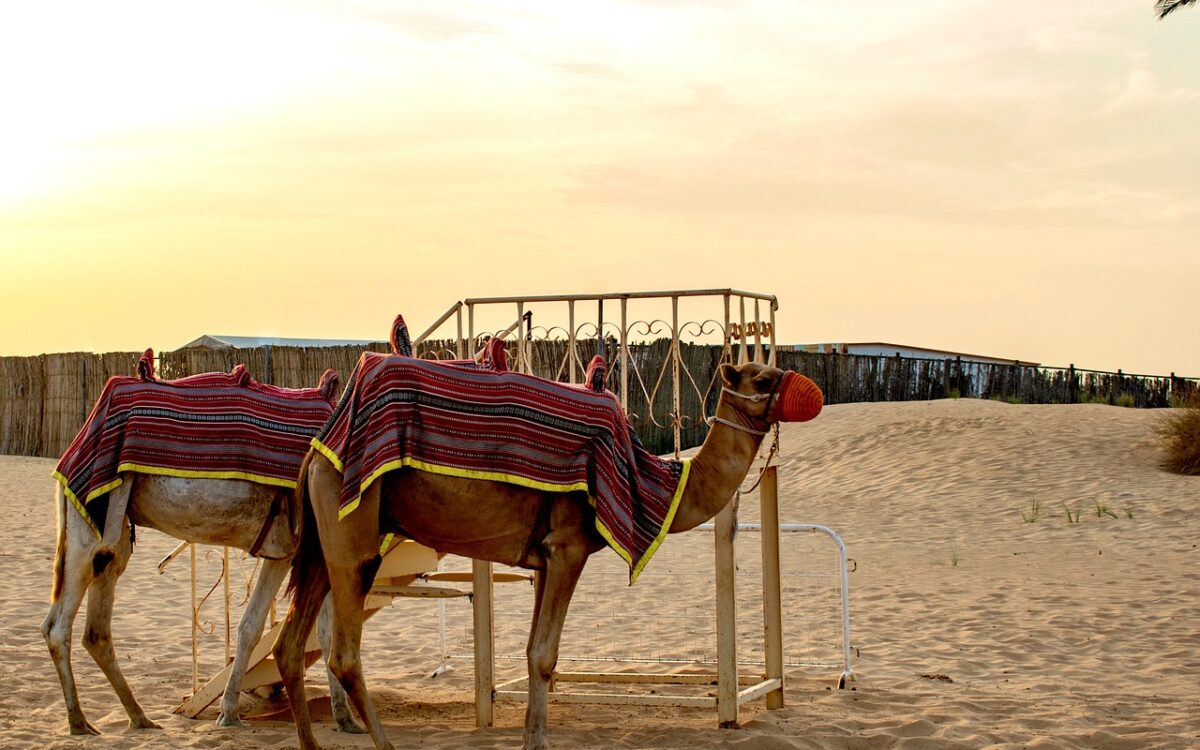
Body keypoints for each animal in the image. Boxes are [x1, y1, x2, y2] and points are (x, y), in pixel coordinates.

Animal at [272, 360, 825, 744]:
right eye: (762, 379)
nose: (811, 392)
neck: (652, 482)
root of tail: (317, 450)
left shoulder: (542, 556)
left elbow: (534, 652)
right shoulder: (568, 547)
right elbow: (543, 656)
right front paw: (536, 740)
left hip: (320, 545)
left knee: (288, 648)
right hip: (353, 538)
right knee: (343, 655)